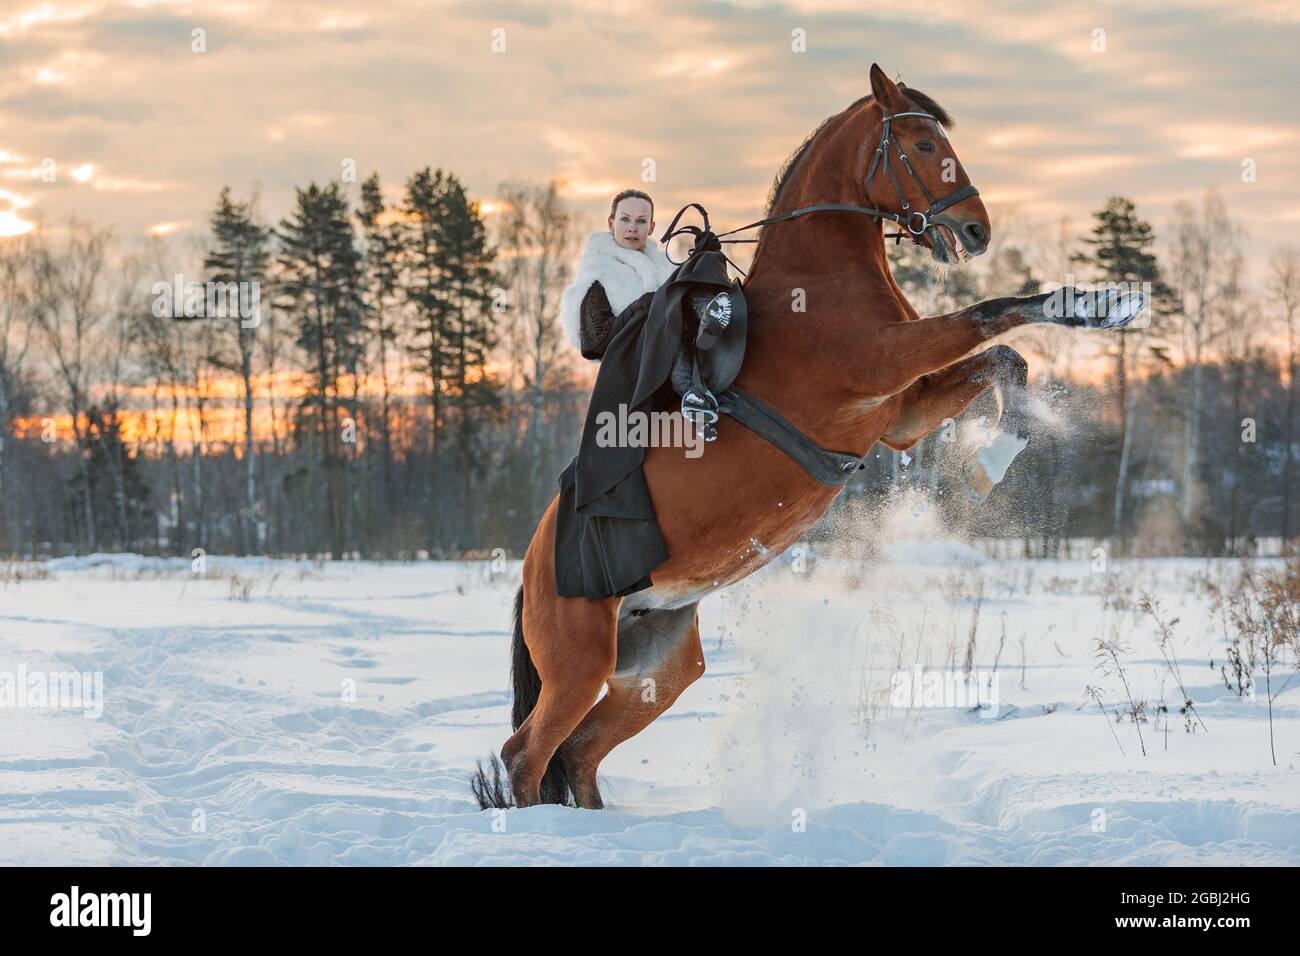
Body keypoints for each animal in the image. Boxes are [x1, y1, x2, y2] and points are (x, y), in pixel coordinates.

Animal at [473, 63, 1144, 806]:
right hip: (580, 662)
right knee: (527, 754)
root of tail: (530, 571)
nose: (976, 228)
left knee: (579, 753)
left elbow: (1007, 359)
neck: (819, 284)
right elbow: (994, 313)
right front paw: (1097, 309)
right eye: (921, 144)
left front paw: (995, 455)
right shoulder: (884, 364)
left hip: (656, 668)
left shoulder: (901, 412)